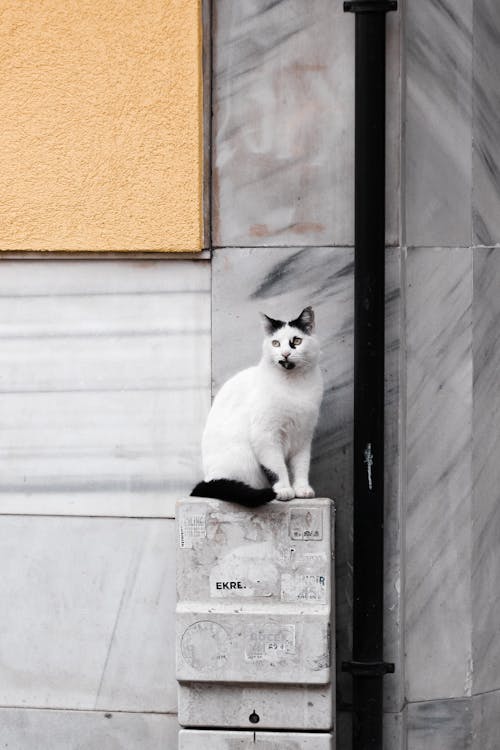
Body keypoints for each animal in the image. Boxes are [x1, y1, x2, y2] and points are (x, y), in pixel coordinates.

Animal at [191, 306, 324, 512]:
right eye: (275, 343)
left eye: (296, 341)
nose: (285, 353)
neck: (294, 385)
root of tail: (208, 478)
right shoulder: (266, 435)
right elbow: (276, 466)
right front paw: (284, 489)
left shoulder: (303, 436)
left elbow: (301, 465)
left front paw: (302, 489)